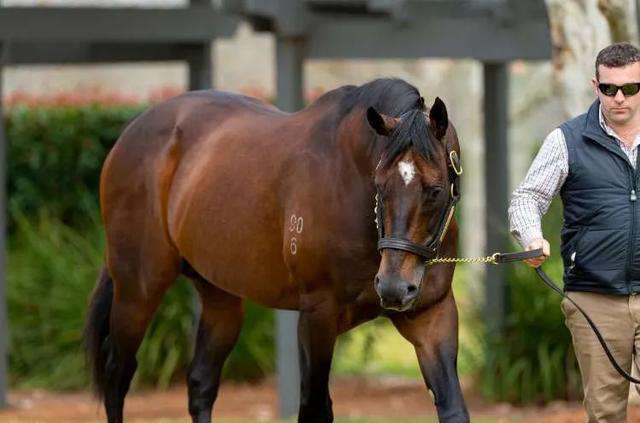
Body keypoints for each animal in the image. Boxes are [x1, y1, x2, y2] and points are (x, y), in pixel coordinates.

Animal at [82, 78, 468, 422]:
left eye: (435, 190)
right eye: (379, 184)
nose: (393, 288)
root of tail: (131, 132)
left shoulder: (432, 314)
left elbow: (452, 407)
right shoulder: (317, 316)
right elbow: (314, 410)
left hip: (220, 299)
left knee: (200, 383)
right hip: (137, 291)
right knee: (117, 376)